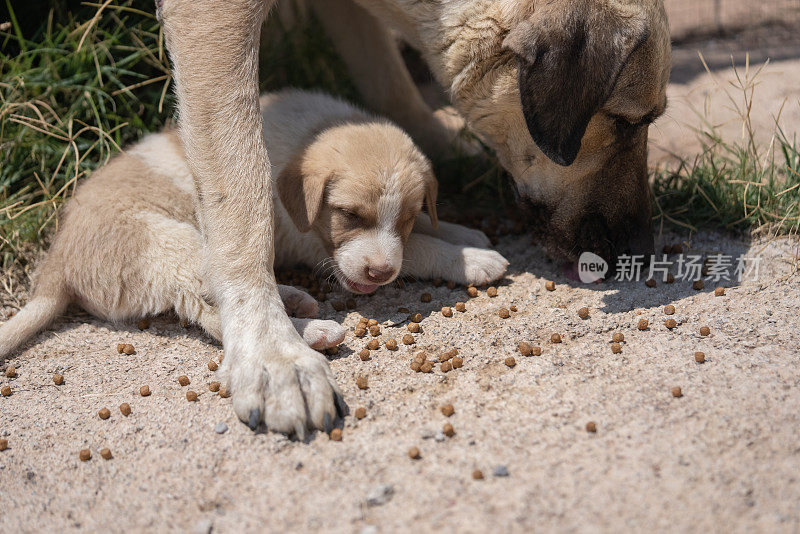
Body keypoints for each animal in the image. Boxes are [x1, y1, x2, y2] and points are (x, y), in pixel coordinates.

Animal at [0, 89, 506, 368]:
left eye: (403, 216)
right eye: (349, 216)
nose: (379, 273)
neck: (312, 131)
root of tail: (56, 266)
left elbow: (426, 231)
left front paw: (465, 236)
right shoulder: (307, 241)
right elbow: (420, 249)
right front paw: (477, 260)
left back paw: (295, 300)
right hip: (172, 243)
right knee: (218, 313)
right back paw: (313, 331)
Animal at [156, 0, 668, 436]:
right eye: (626, 122)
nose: (641, 252)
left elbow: (390, 83)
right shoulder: (212, 19)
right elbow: (242, 196)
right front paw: (272, 355)